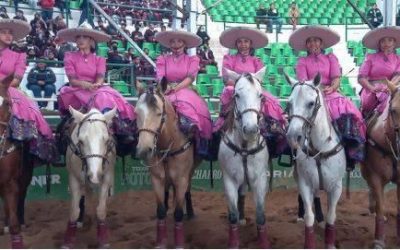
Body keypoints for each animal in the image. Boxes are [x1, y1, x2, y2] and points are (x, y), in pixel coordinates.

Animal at [61, 107, 117, 248]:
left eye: (106, 140)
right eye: (80, 141)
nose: (94, 175)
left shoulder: (106, 178)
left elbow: (101, 210)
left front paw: (103, 240)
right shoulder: (74, 180)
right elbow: (74, 211)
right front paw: (68, 241)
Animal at [136, 82, 202, 248]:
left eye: (159, 114)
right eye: (136, 112)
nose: (143, 150)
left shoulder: (181, 178)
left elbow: (178, 212)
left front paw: (179, 243)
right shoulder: (156, 178)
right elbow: (160, 210)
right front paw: (161, 242)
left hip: (190, 172)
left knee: (187, 189)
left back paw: (189, 212)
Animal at [217, 67, 270, 249]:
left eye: (260, 95)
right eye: (236, 95)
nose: (251, 129)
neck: (245, 147)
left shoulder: (259, 180)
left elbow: (261, 215)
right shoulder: (229, 180)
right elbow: (232, 213)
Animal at [284, 73, 346, 248]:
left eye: (311, 103)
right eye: (289, 103)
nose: (293, 137)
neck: (320, 149)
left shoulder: (336, 187)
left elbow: (331, 216)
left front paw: (330, 242)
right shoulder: (305, 183)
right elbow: (308, 217)